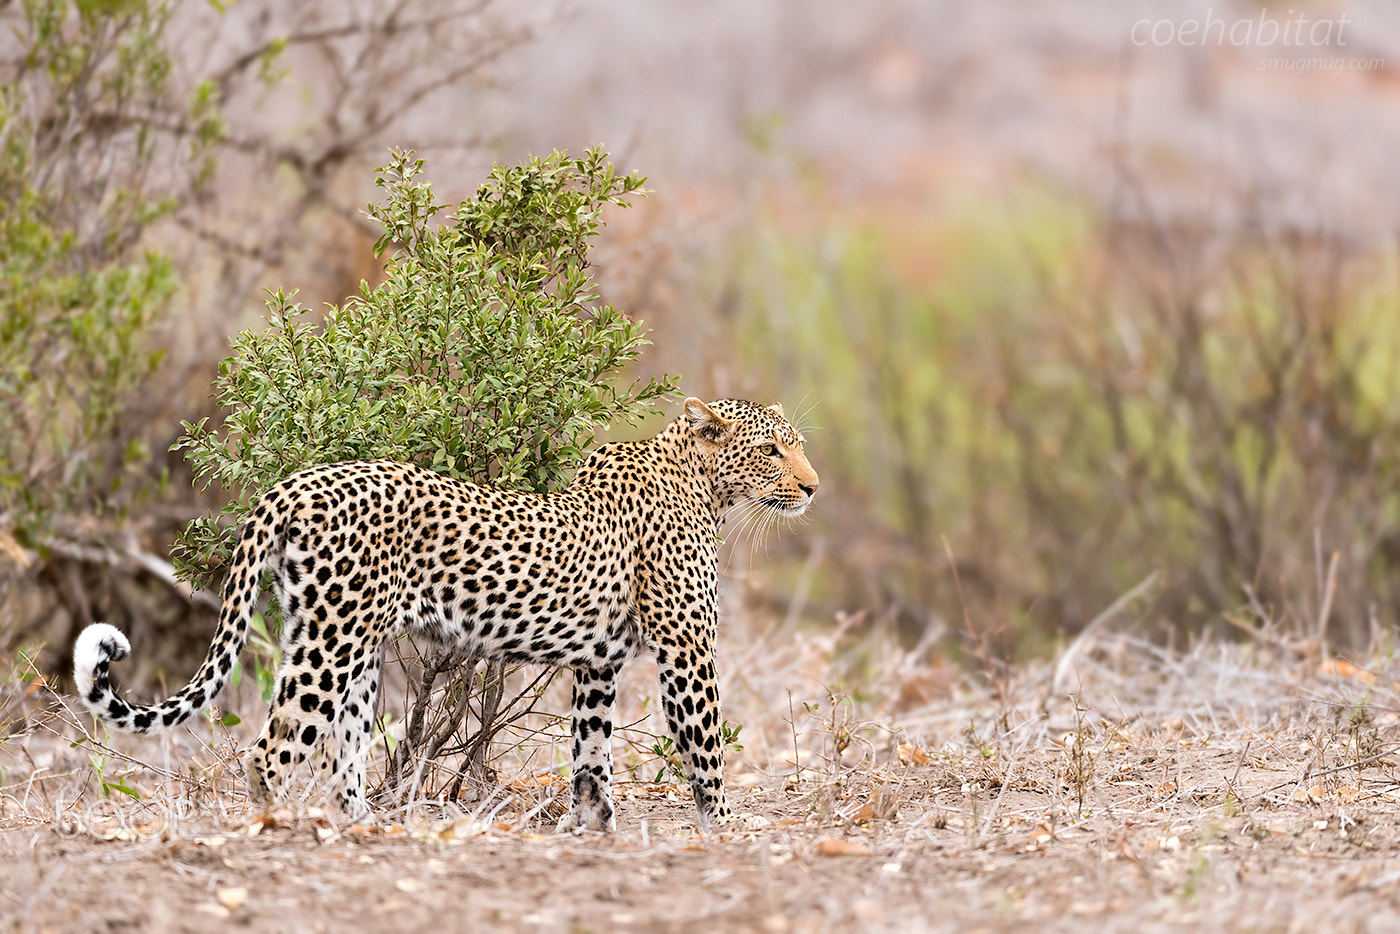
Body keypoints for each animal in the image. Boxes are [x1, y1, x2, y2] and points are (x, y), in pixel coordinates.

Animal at [73, 394, 817, 834]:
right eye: (771, 449)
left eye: (799, 443)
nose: (813, 487)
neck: (706, 488)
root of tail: (293, 483)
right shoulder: (688, 650)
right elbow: (706, 748)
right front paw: (728, 826)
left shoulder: (597, 665)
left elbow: (591, 754)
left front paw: (593, 828)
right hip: (331, 644)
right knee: (272, 747)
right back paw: (276, 828)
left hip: (347, 647)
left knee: (342, 752)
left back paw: (368, 826)